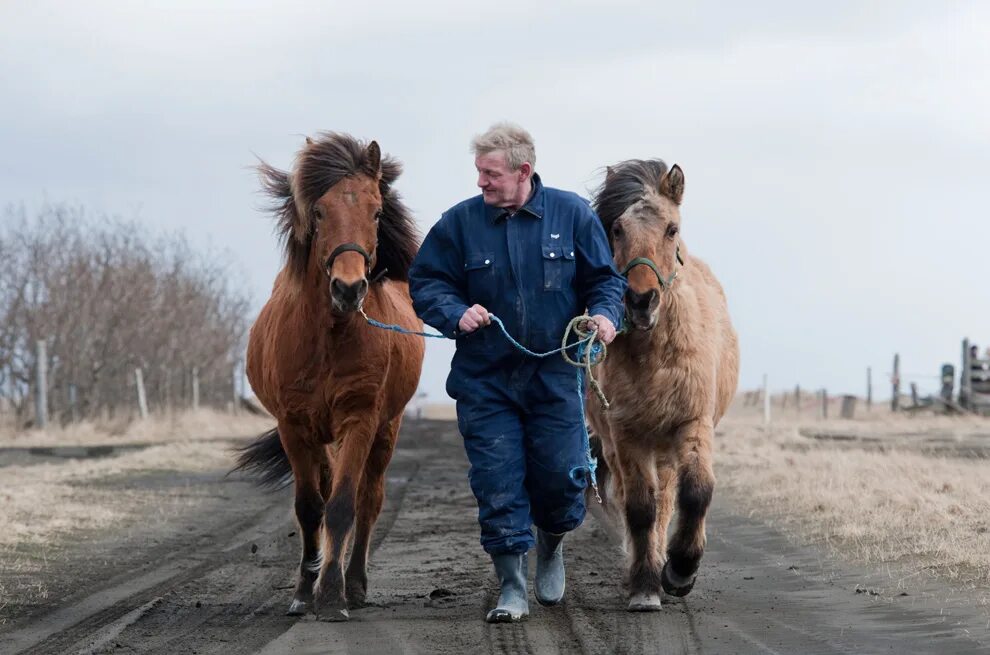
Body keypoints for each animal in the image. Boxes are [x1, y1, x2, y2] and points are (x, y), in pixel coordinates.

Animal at [238, 132, 428, 620]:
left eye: (376, 211)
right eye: (319, 212)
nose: (348, 288)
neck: (328, 336)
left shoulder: (359, 419)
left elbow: (343, 505)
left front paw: (331, 594)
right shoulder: (294, 426)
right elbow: (310, 507)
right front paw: (304, 591)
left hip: (385, 429)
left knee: (369, 499)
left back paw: (354, 582)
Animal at [584, 161, 740, 612]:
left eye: (671, 229)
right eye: (617, 229)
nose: (641, 301)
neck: (655, 353)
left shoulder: (693, 424)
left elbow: (697, 493)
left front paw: (681, 570)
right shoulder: (627, 435)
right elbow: (639, 508)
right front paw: (646, 585)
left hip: (668, 446)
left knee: (670, 498)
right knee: (641, 501)